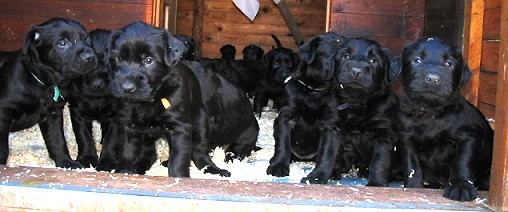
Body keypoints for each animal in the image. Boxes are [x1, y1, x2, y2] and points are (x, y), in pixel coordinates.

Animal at [0, 17, 97, 168]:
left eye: (86, 38)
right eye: (63, 43)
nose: (90, 56)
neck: (45, 84)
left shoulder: (53, 114)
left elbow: (57, 140)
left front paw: (66, 162)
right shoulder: (4, 111)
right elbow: (3, 147)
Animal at [107, 21, 258, 177]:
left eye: (148, 60)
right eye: (119, 59)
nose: (126, 88)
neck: (154, 97)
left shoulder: (181, 127)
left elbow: (179, 158)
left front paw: (179, 178)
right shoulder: (129, 126)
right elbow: (128, 152)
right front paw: (124, 173)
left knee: (202, 152)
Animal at [266, 31, 346, 184]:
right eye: (335, 55)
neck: (314, 89)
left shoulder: (329, 126)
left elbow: (327, 153)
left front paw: (317, 177)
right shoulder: (286, 117)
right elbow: (283, 145)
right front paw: (278, 166)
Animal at [334, 37, 400, 186]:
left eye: (373, 60)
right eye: (345, 56)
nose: (356, 72)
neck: (359, 103)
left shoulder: (384, 134)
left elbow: (379, 161)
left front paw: (376, 184)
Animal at [394, 37, 494, 201]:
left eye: (448, 63)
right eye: (417, 60)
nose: (433, 79)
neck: (430, 111)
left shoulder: (468, 137)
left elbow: (461, 162)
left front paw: (460, 186)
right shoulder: (406, 138)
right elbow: (412, 166)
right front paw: (414, 187)